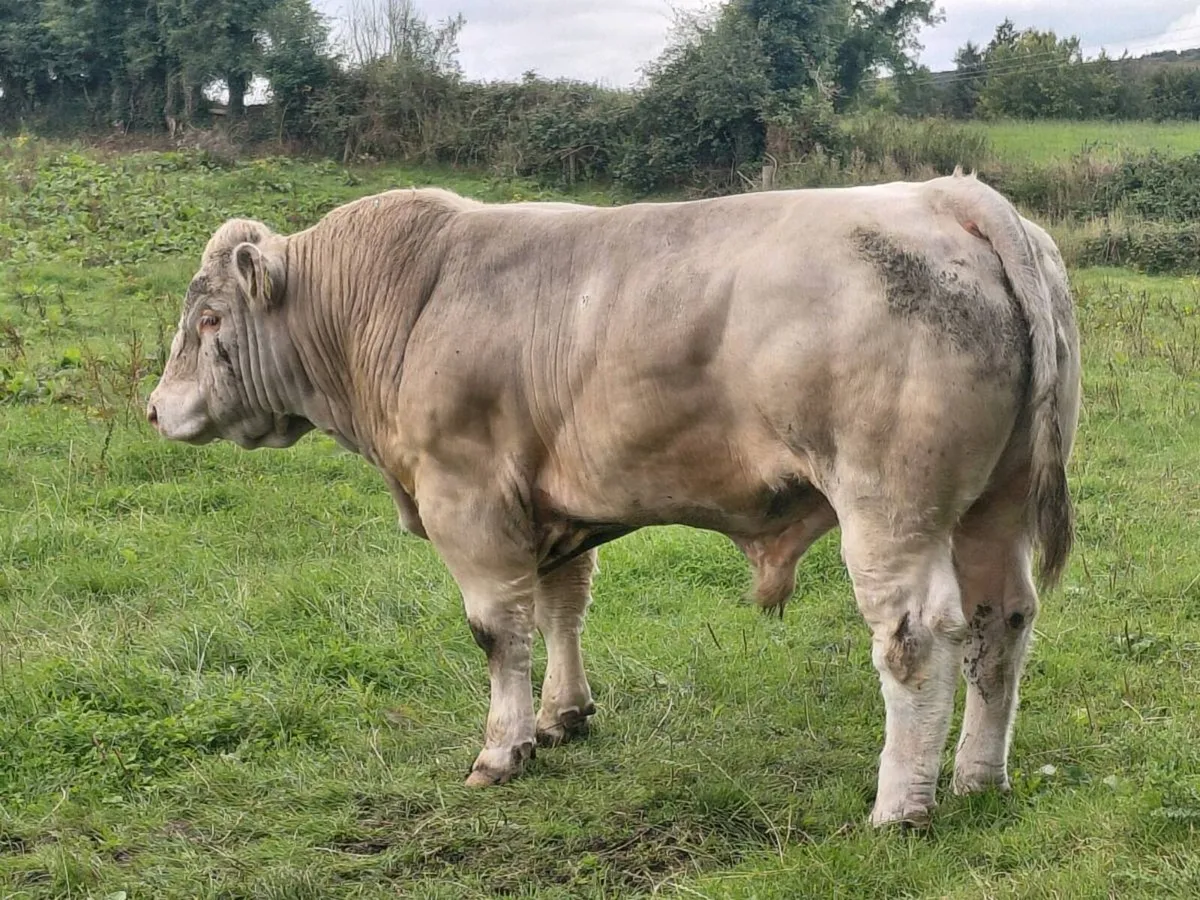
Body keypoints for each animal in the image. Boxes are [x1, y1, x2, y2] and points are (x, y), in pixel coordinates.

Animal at [147, 171, 1081, 827]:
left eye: (209, 321)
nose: (155, 409)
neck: (404, 300)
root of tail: (949, 194)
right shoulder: (551, 505)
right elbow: (561, 607)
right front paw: (563, 716)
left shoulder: (467, 497)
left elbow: (499, 631)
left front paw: (503, 748)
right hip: (992, 506)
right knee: (1001, 621)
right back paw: (977, 778)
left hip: (891, 508)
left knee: (916, 638)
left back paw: (901, 807)